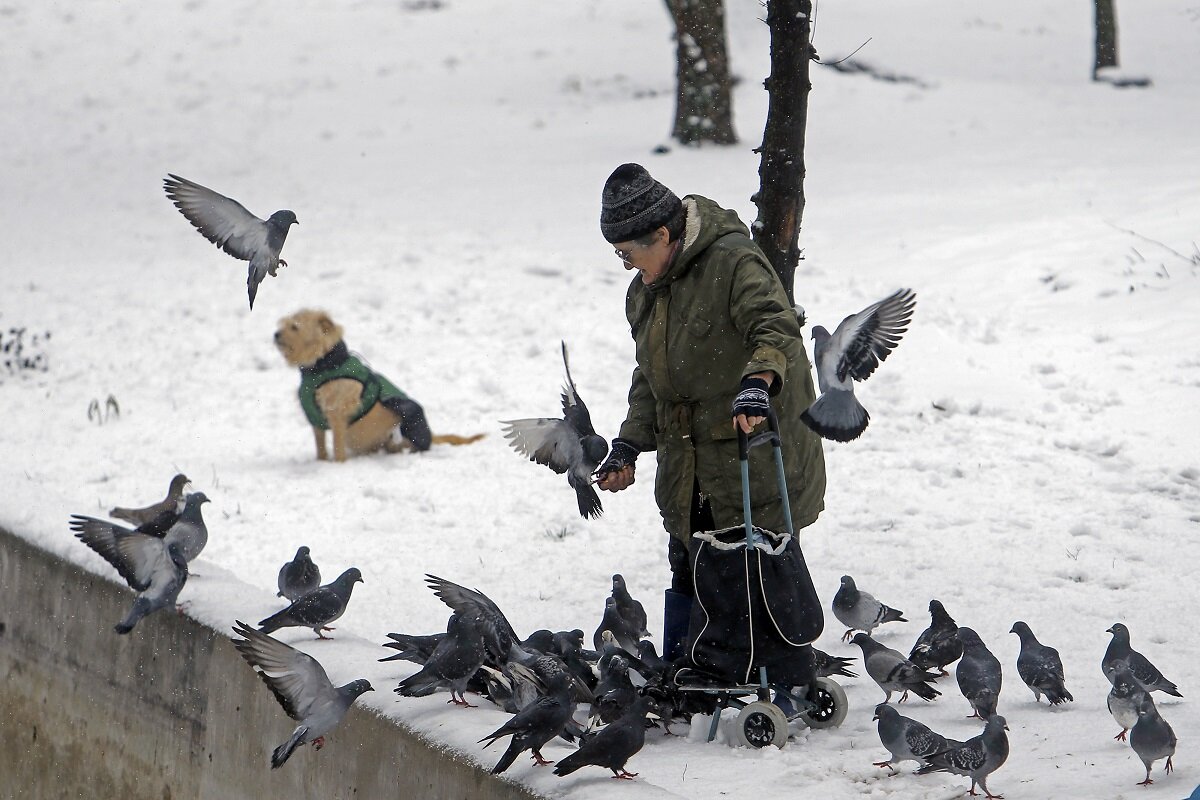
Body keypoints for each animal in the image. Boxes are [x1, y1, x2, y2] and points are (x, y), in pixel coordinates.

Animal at [274, 309, 480, 462]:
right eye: (283, 323)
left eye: (295, 326)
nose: (275, 334)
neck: (325, 364)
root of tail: (432, 435)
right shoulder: (316, 420)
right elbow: (321, 447)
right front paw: (321, 462)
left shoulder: (337, 415)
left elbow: (338, 447)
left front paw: (337, 465)